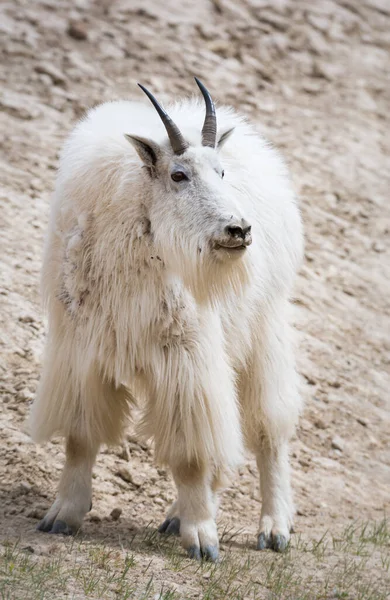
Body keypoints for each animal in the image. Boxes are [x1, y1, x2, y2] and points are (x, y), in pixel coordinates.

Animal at [30, 77, 304, 560]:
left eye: (221, 173)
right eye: (178, 175)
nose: (239, 230)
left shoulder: (186, 357)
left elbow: (191, 455)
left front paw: (203, 540)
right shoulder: (81, 353)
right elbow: (80, 437)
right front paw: (62, 516)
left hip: (262, 332)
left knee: (268, 429)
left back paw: (273, 529)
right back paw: (179, 516)